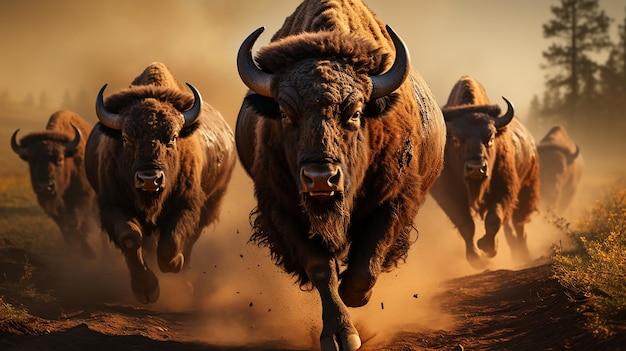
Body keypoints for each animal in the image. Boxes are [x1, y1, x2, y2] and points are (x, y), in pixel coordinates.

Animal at [11, 111, 100, 260]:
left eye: (60, 159)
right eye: (31, 160)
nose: (45, 187)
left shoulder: (84, 197)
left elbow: (74, 221)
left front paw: (90, 252)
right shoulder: (51, 207)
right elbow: (66, 227)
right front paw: (75, 253)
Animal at [84, 62, 235, 304]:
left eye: (172, 138)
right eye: (126, 137)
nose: (149, 179)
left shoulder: (187, 205)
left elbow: (170, 242)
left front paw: (175, 264)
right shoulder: (112, 205)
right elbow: (130, 238)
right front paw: (147, 290)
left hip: (212, 203)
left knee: (190, 240)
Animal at [233, 1, 444, 350]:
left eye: (355, 113)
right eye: (284, 113)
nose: (320, 178)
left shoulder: (393, 202)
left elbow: (366, 264)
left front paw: (355, 296)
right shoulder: (282, 208)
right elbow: (321, 268)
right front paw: (341, 334)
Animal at [428, 76, 536, 270]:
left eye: (490, 138)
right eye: (456, 139)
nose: (476, 168)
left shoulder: (503, 189)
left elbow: (494, 219)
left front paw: (488, 247)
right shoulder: (449, 196)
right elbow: (466, 225)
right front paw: (476, 258)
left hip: (526, 188)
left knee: (518, 223)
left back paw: (523, 253)